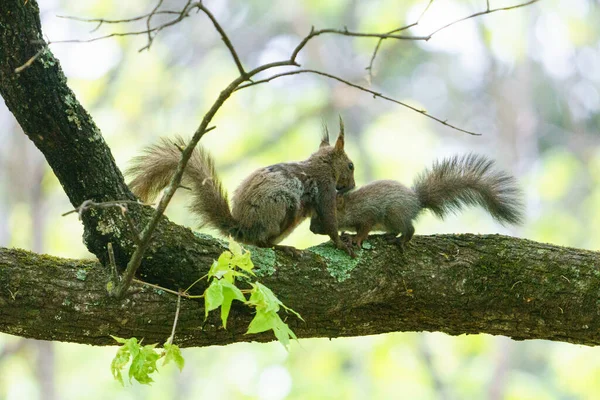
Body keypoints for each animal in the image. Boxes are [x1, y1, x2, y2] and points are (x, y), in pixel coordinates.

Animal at [126, 119, 356, 256]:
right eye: (351, 165)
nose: (353, 185)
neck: (322, 165)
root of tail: (242, 228)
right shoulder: (324, 186)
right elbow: (329, 219)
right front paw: (340, 243)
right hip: (282, 206)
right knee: (262, 242)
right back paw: (283, 248)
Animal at [310, 153, 524, 247]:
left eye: (323, 215)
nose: (311, 229)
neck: (351, 207)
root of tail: (417, 201)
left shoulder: (369, 213)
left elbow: (365, 228)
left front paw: (356, 238)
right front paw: (346, 233)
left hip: (393, 214)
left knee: (410, 229)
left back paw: (401, 240)